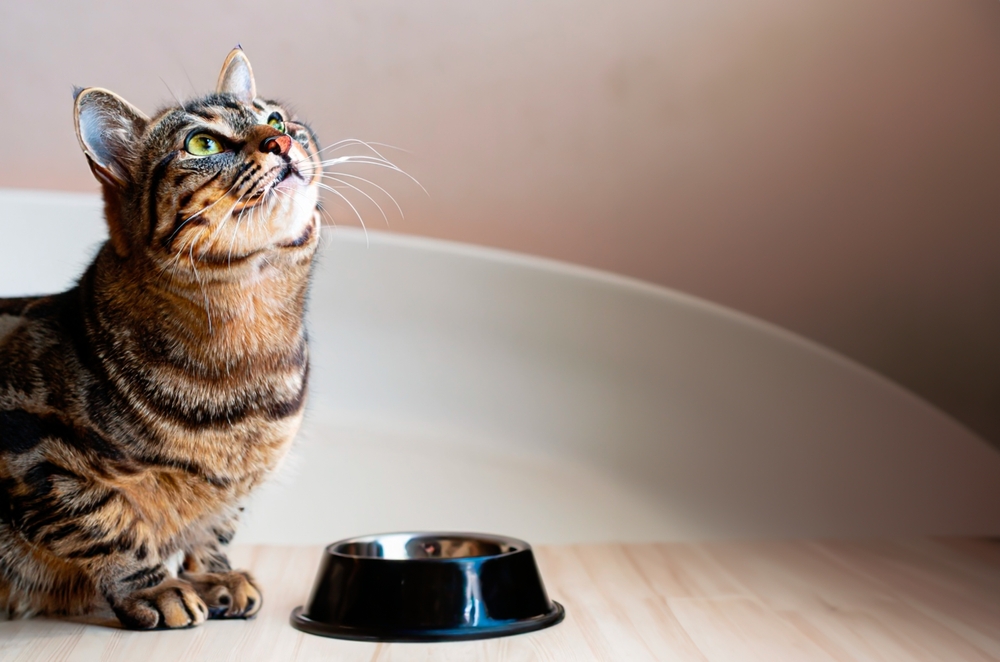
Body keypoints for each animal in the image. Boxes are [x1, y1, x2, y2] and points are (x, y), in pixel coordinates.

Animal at [0, 49, 320, 632]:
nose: (281, 143)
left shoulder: (234, 487)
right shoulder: (33, 453)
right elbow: (107, 524)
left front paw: (213, 576)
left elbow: (215, 527)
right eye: (203, 144)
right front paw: (155, 587)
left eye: (278, 120)